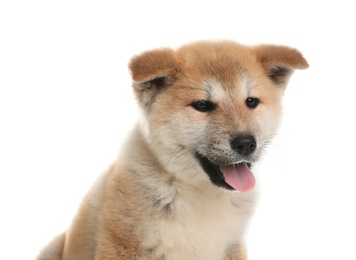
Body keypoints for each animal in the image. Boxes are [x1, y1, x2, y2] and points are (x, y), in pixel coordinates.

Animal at [37, 40, 308, 260]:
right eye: (202, 105)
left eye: (251, 102)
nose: (246, 143)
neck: (200, 196)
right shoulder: (122, 244)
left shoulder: (233, 245)